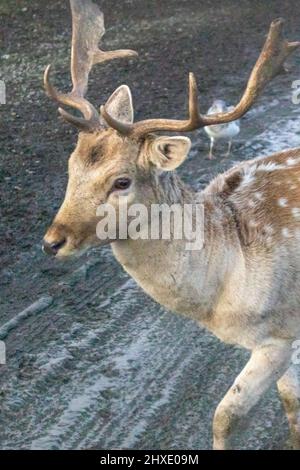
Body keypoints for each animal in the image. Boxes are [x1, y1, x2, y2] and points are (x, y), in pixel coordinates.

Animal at [42, 0, 300, 450]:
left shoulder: (278, 332)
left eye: (121, 181)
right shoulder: (285, 332)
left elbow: (224, 418)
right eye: (71, 167)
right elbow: (291, 402)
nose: (52, 241)